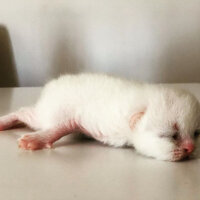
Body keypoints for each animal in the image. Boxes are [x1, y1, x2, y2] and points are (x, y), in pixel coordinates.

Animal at [0, 73, 200, 161]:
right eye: (170, 135)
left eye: (197, 133)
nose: (191, 148)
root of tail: (51, 85)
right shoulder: (86, 117)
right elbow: (64, 125)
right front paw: (38, 139)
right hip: (47, 112)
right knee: (24, 112)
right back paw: (5, 122)